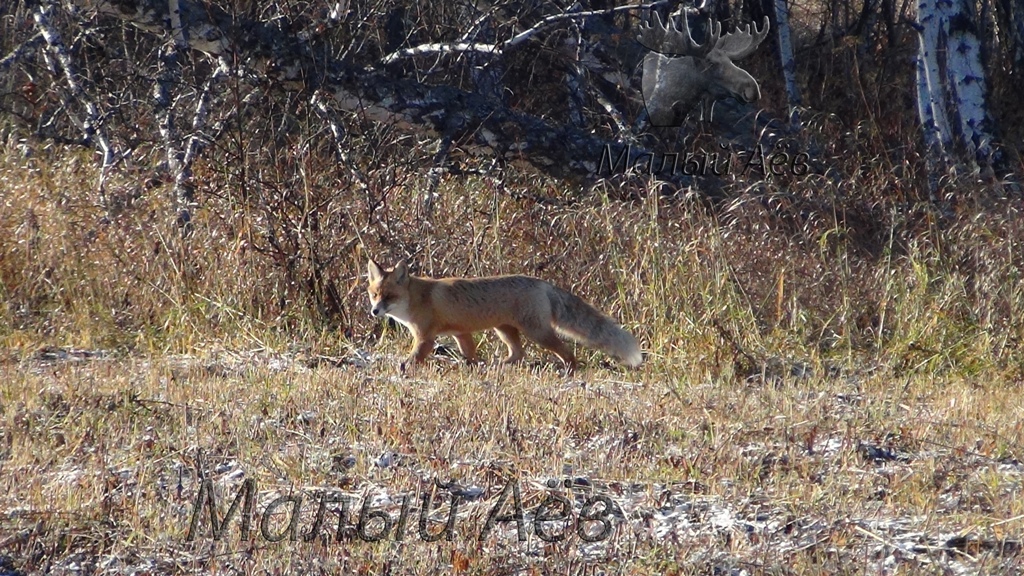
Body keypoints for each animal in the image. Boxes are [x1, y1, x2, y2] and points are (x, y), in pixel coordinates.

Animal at [366, 258, 642, 372]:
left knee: (566, 351)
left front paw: (403, 369)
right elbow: (470, 355)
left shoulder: (426, 338)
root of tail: (542, 283)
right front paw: (472, 368)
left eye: (389, 296)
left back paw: (570, 370)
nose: (375, 311)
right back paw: (500, 365)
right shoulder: (461, 333)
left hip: (537, 332)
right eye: (374, 294)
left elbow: (412, 359)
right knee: (519, 354)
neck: (417, 299)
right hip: (505, 331)